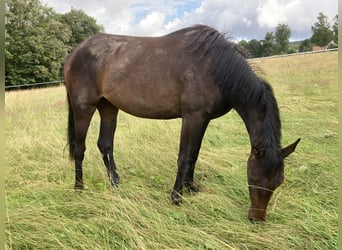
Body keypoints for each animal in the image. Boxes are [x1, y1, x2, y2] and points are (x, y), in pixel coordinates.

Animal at [64, 24, 300, 221]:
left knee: (105, 145)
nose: (256, 219)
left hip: (108, 107)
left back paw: (116, 183)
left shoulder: (203, 119)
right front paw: (177, 197)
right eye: (254, 177)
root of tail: (74, 54)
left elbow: (194, 155)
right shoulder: (192, 117)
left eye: (278, 182)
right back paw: (79, 187)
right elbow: (185, 158)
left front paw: (191, 188)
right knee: (80, 148)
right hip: (84, 108)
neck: (214, 66)